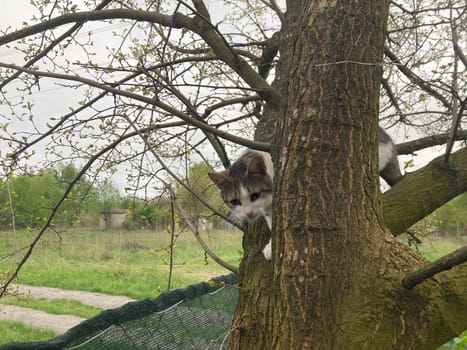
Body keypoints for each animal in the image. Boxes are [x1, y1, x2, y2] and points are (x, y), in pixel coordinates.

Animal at [208, 126, 402, 260]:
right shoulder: (268, 209)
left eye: (254, 195)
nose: (248, 213)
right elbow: (272, 222)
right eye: (234, 201)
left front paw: (271, 246)